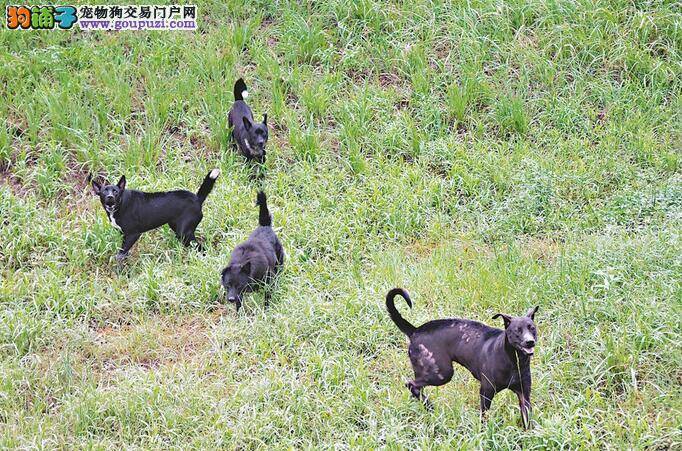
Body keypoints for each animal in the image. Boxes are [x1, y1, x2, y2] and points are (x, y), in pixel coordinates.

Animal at [91, 170, 219, 262]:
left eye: (115, 191)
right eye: (104, 192)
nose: (110, 197)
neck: (120, 205)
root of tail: (197, 199)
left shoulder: (133, 234)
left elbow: (120, 253)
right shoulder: (123, 234)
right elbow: (123, 253)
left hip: (184, 233)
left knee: (201, 248)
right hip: (177, 228)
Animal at [388, 290, 536, 430]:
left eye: (532, 328)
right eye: (517, 330)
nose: (530, 342)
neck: (514, 361)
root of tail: (415, 331)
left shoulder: (524, 395)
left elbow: (527, 420)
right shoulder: (486, 392)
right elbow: (484, 418)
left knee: (416, 389)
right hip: (442, 374)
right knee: (410, 384)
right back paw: (430, 407)